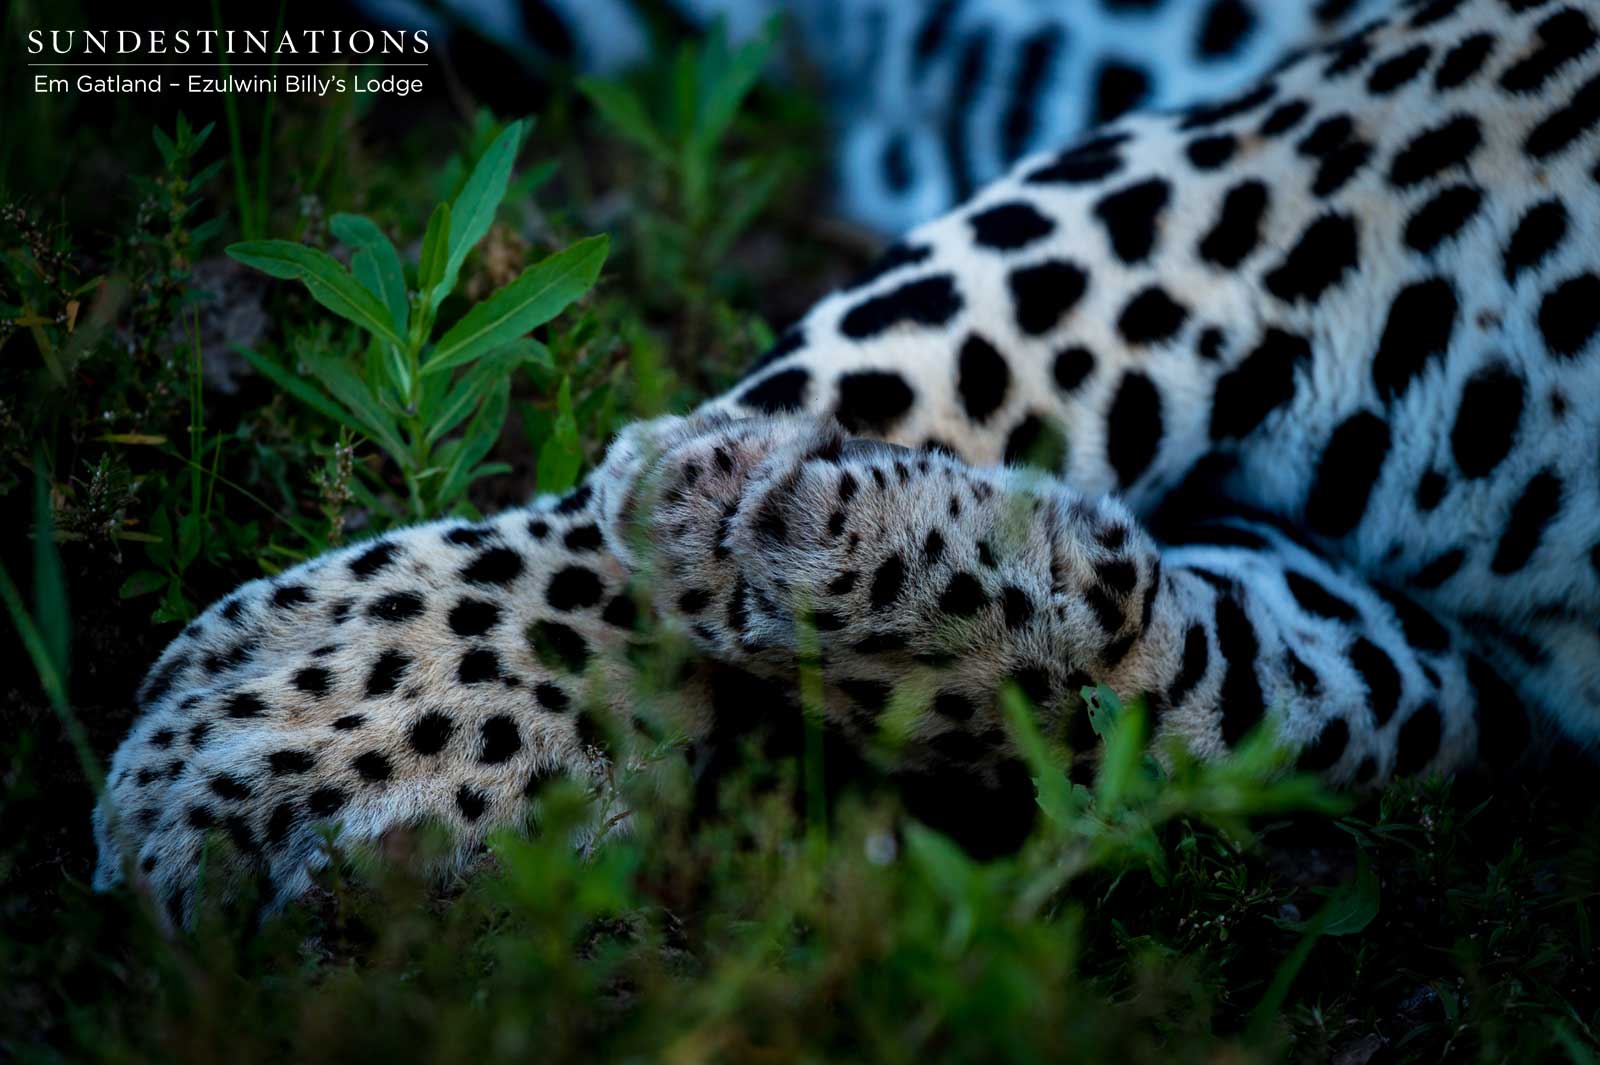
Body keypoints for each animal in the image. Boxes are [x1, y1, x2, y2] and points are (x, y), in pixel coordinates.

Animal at [95, 0, 1600, 927]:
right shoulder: (1305, 161)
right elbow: (935, 345)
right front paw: (382, 715)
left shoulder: (1487, 681)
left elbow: (1256, 701)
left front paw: (883, 574)